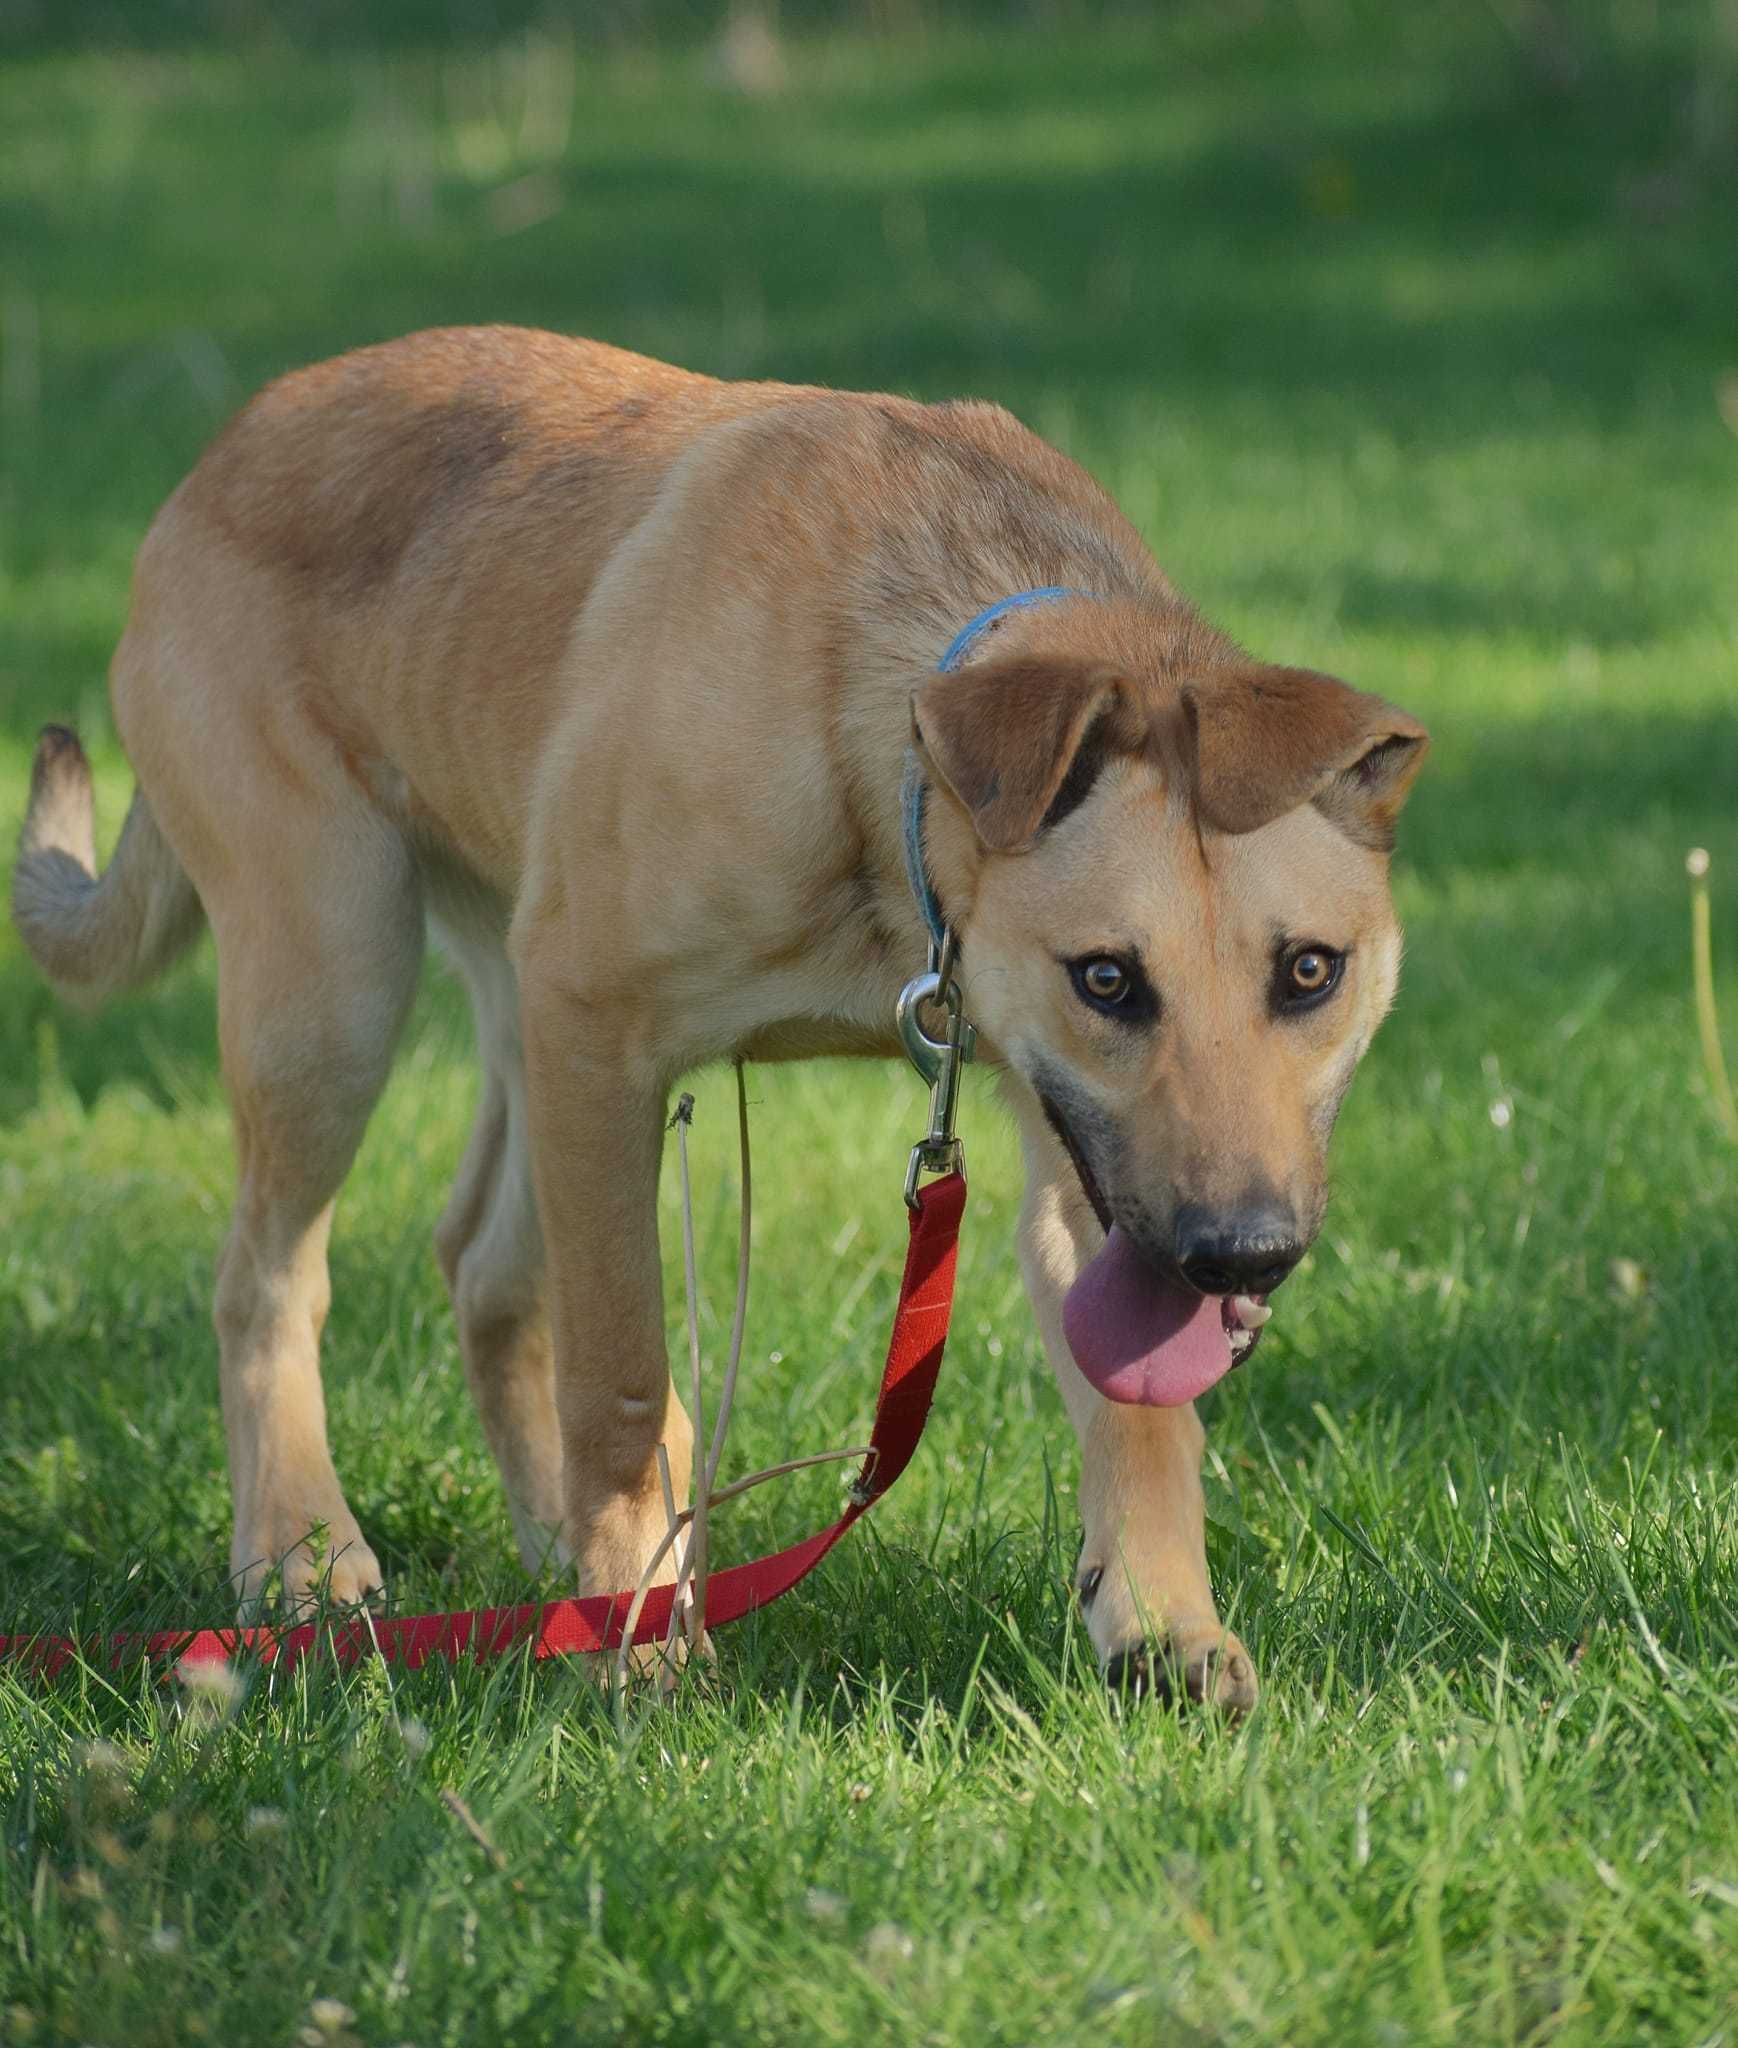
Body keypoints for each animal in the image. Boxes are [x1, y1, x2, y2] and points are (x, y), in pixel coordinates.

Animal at [10, 327, 1424, 1703]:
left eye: (1310, 970)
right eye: (1109, 979)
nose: (1240, 1255)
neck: (893, 771)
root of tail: (220, 454)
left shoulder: (1061, 1142)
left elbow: (1142, 1406)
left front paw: (1161, 1620)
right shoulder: (599, 1032)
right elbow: (625, 1374)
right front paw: (639, 1639)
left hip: (508, 1008)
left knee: (482, 1263)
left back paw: (553, 1557)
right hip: (337, 983)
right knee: (269, 1277)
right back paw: (309, 1553)